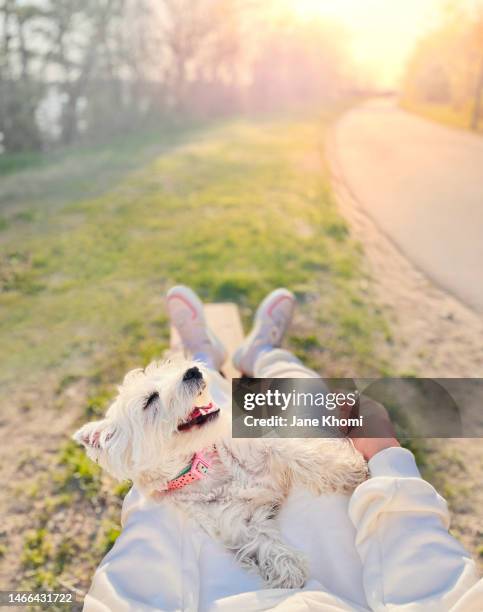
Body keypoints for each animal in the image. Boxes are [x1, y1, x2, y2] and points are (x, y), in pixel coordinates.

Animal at [73, 358, 366, 588]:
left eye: (170, 368)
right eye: (150, 400)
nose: (192, 371)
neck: (201, 467)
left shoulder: (264, 442)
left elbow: (298, 452)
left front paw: (346, 468)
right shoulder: (238, 522)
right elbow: (261, 542)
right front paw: (287, 568)